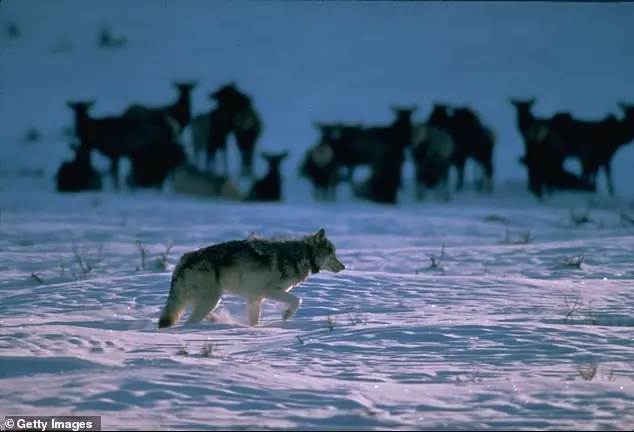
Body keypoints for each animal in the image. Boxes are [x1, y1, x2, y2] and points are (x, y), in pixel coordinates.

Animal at [158, 230, 346, 328]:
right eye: (331, 253)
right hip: (211, 300)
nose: (344, 267)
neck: (302, 254)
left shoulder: (255, 298)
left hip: (209, 301)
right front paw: (286, 315)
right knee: (188, 323)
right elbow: (297, 300)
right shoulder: (269, 291)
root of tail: (183, 260)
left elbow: (254, 322)